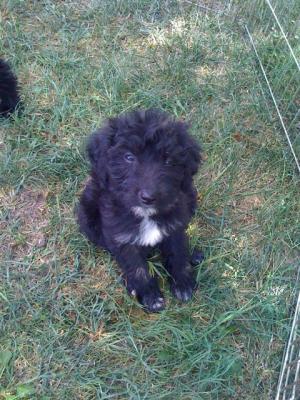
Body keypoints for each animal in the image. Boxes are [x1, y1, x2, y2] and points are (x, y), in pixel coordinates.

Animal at [78, 109, 203, 312]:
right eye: (129, 157)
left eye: (169, 160)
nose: (148, 197)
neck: (145, 215)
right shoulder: (121, 236)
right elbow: (136, 267)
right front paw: (149, 295)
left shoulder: (175, 225)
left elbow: (178, 252)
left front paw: (182, 282)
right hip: (86, 213)